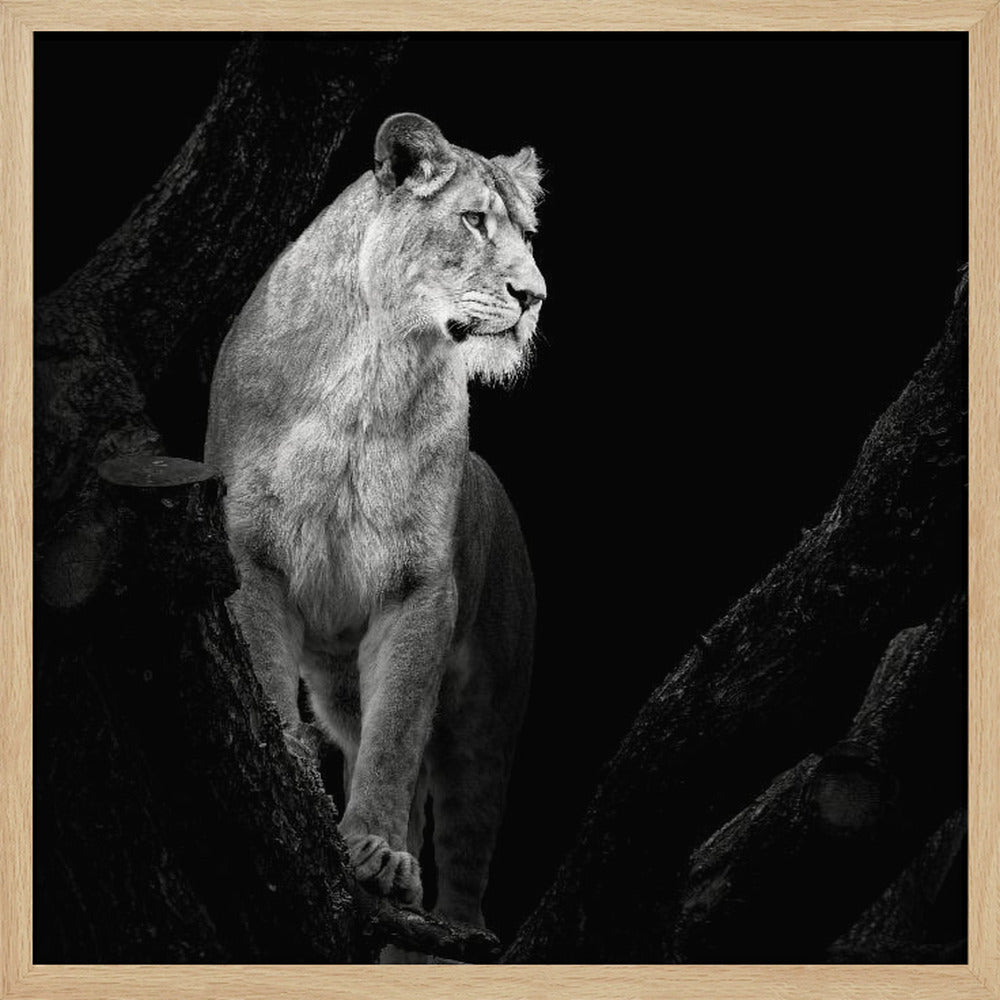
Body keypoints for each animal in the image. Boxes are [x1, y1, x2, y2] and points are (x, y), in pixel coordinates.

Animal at [204, 113, 544, 936]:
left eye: (527, 232)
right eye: (473, 220)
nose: (534, 296)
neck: (375, 369)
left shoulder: (419, 590)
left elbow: (397, 738)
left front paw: (380, 853)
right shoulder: (251, 556)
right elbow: (269, 681)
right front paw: (296, 777)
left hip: (491, 712)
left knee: (464, 836)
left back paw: (453, 930)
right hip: (338, 685)